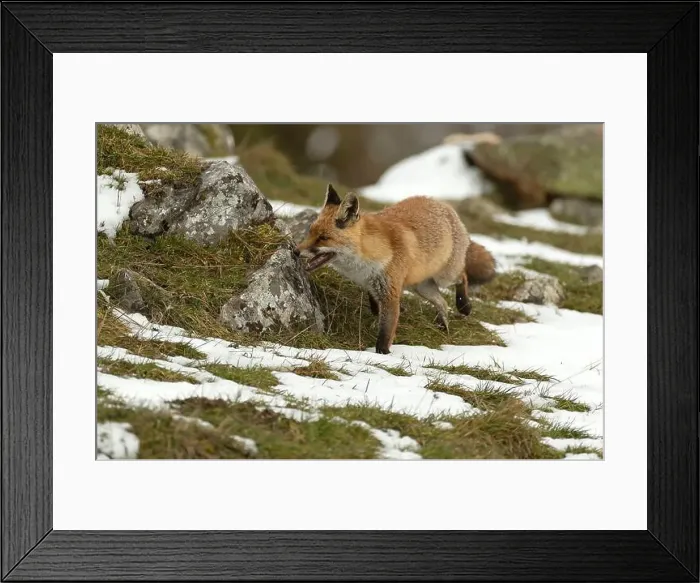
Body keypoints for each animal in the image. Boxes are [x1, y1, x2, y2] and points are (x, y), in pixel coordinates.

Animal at [295, 184, 496, 355]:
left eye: (323, 238)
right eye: (310, 232)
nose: (295, 251)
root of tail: (443, 204)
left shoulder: (390, 291)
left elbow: (386, 330)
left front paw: (383, 352)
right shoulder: (372, 285)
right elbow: (375, 306)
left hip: (445, 276)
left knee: (463, 276)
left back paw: (464, 305)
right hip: (422, 287)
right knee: (442, 303)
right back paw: (442, 326)